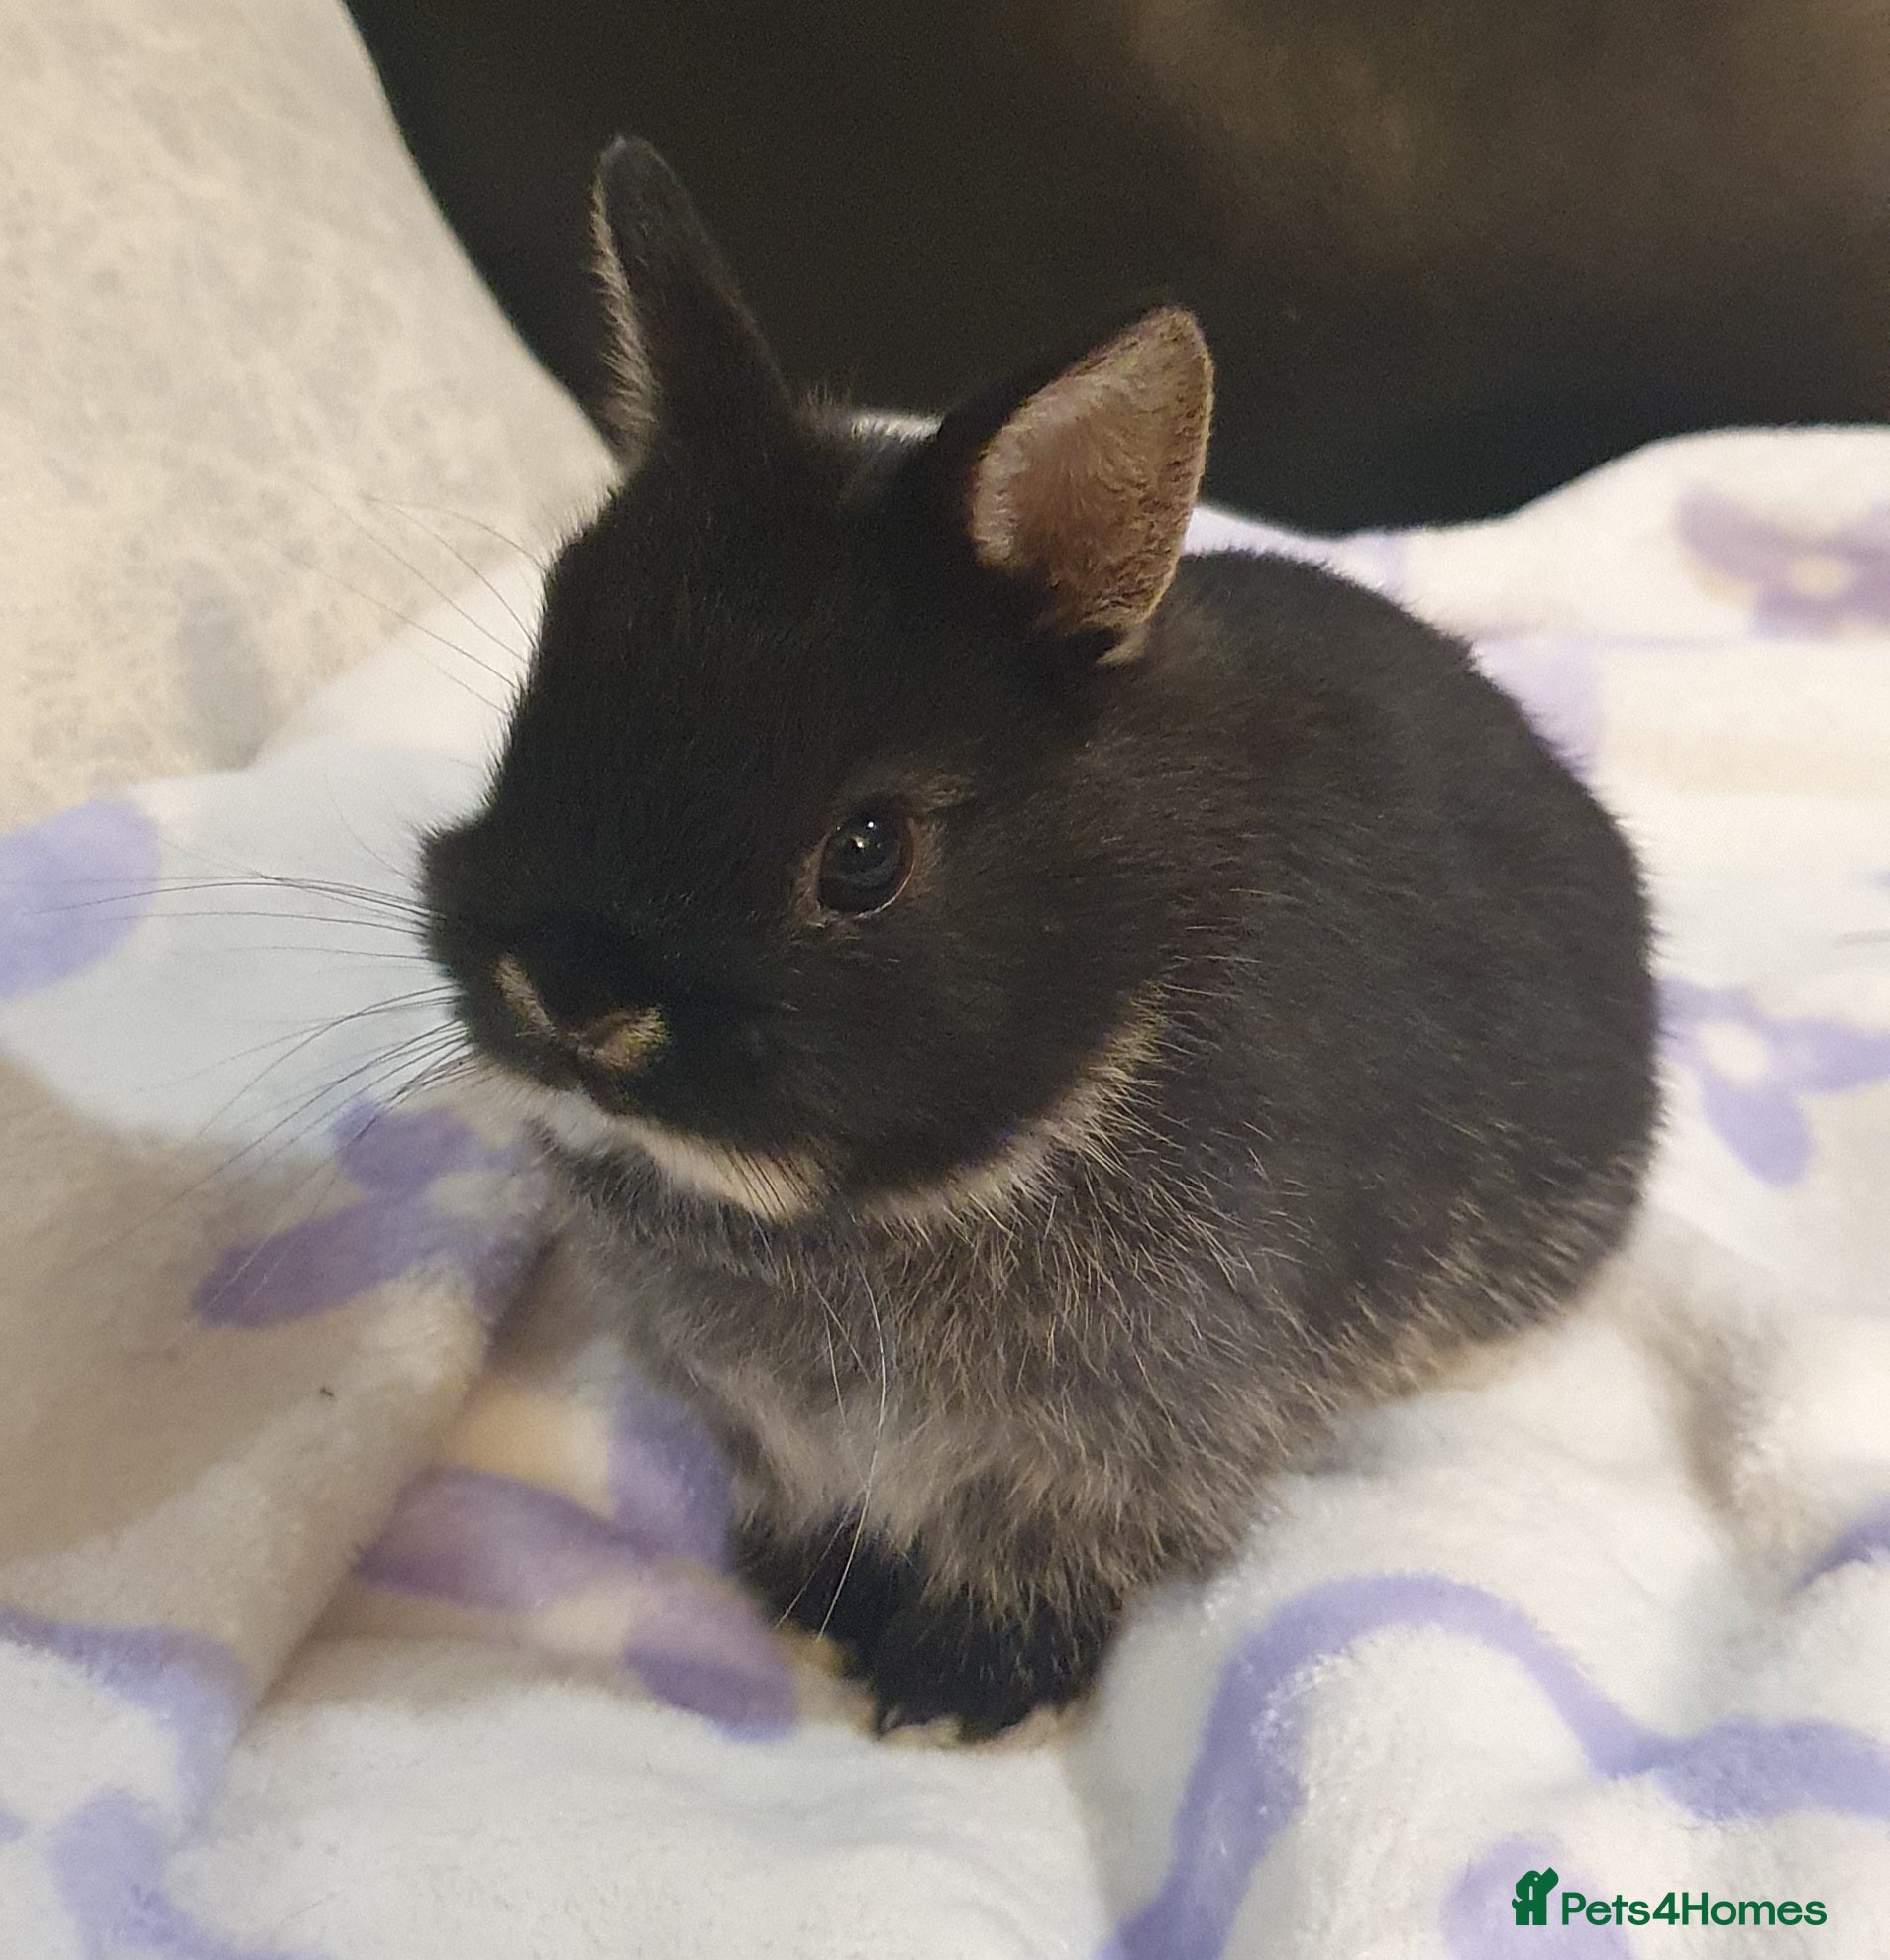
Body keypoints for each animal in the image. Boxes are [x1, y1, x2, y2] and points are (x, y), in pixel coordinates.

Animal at [421, 136, 1658, 1737]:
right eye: (536, 708)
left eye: (867, 851)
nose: (570, 994)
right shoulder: (774, 1421)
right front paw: (813, 1604)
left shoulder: (1126, 1436)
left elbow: (1050, 1546)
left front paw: (958, 1687)